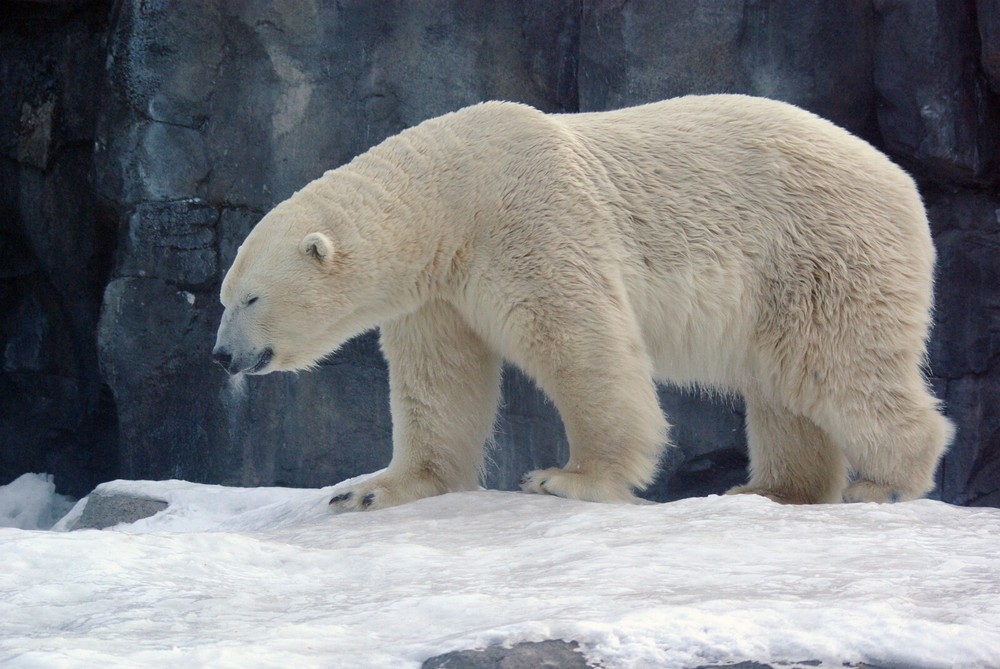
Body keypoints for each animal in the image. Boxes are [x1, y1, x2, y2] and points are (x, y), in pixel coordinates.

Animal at [213, 95, 954, 511]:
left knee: (837, 365)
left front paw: (567, 479)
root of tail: (903, 183)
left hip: (821, 249)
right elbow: (440, 381)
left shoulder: (531, 220)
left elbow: (579, 342)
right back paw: (769, 488)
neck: (453, 196)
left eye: (250, 297)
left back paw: (886, 481)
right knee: (784, 385)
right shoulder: (439, 293)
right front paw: (368, 488)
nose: (222, 354)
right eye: (224, 296)